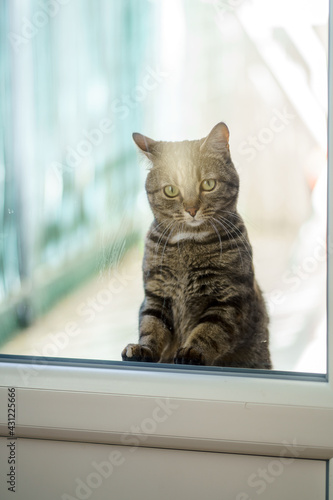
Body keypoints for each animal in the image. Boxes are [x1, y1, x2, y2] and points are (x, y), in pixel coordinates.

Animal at [120, 123, 272, 370]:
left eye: (208, 184)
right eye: (170, 190)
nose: (191, 209)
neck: (188, 247)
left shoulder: (229, 299)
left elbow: (210, 331)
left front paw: (193, 350)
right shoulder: (156, 294)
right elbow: (151, 326)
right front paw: (143, 349)